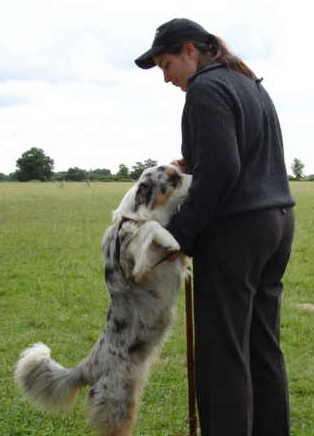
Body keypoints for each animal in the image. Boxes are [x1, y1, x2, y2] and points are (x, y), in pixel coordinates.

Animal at [14, 164, 193, 436]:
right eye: (173, 180)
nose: (195, 176)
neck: (134, 215)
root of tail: (89, 366)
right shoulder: (136, 267)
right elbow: (151, 228)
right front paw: (169, 237)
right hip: (116, 404)